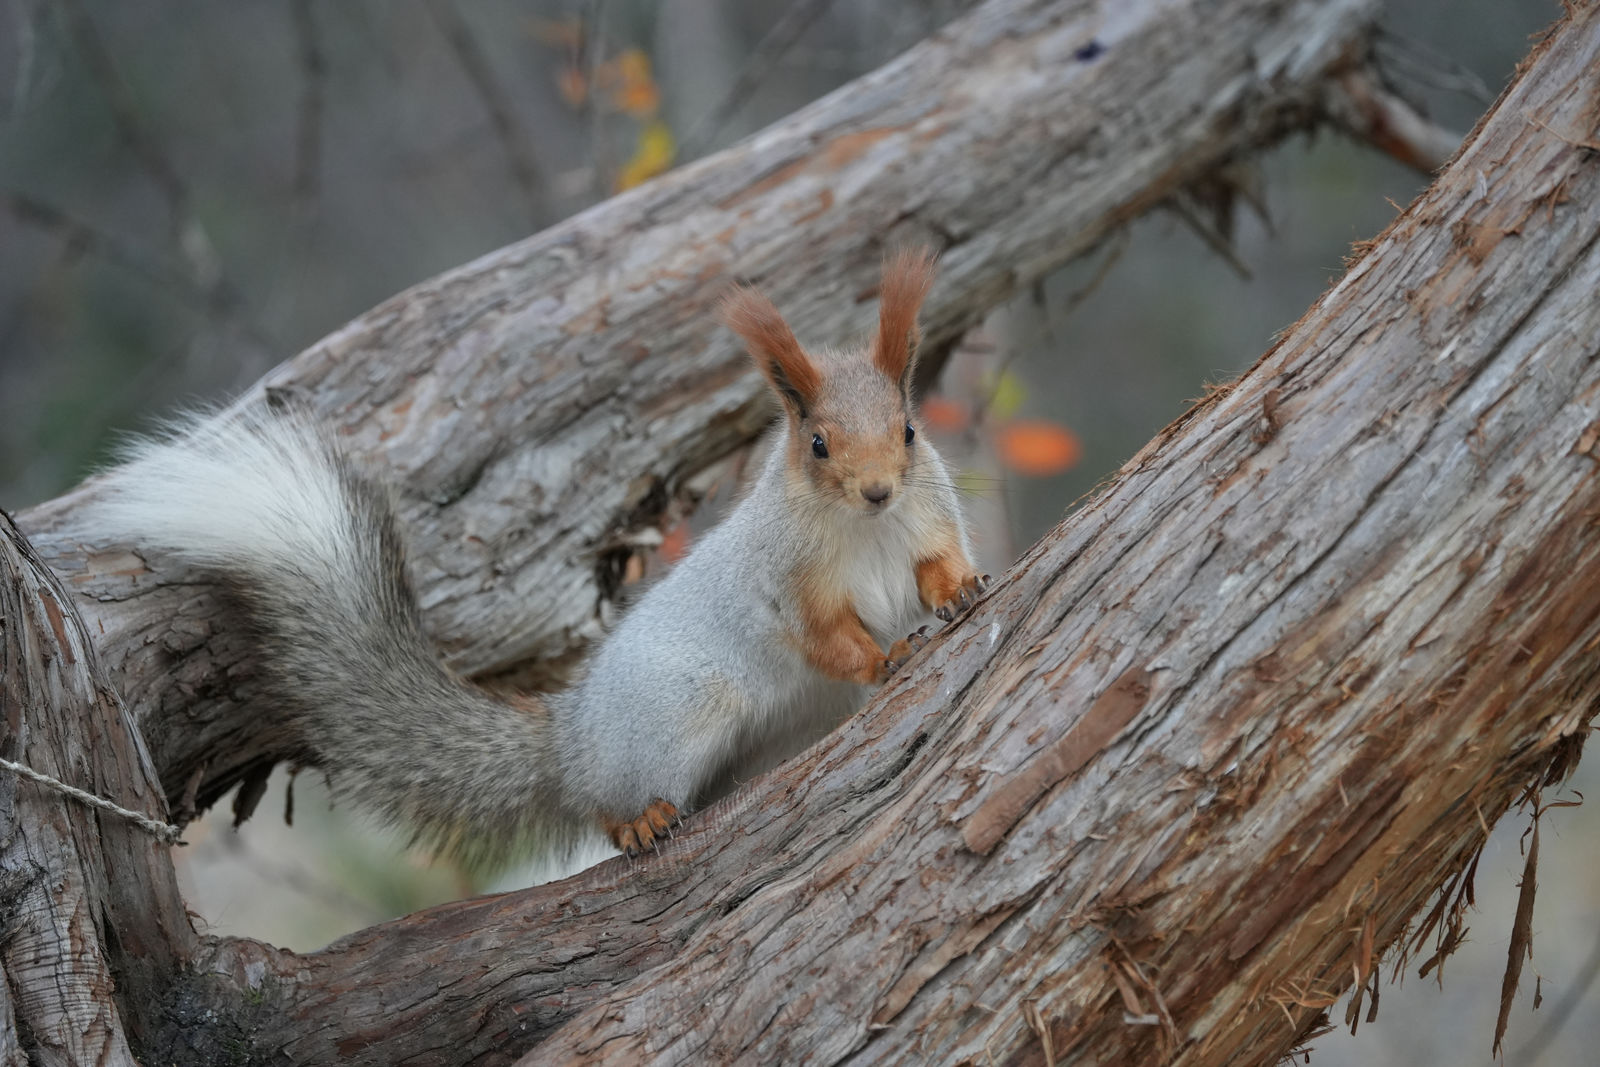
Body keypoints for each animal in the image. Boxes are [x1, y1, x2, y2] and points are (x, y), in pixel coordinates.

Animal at [88, 247, 987, 860]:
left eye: (909, 428)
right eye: (818, 443)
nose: (878, 490)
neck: (865, 530)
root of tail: (572, 737)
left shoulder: (927, 518)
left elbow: (934, 567)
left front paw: (961, 590)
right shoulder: (788, 579)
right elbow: (827, 637)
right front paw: (883, 657)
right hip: (671, 722)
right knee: (605, 806)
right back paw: (639, 820)